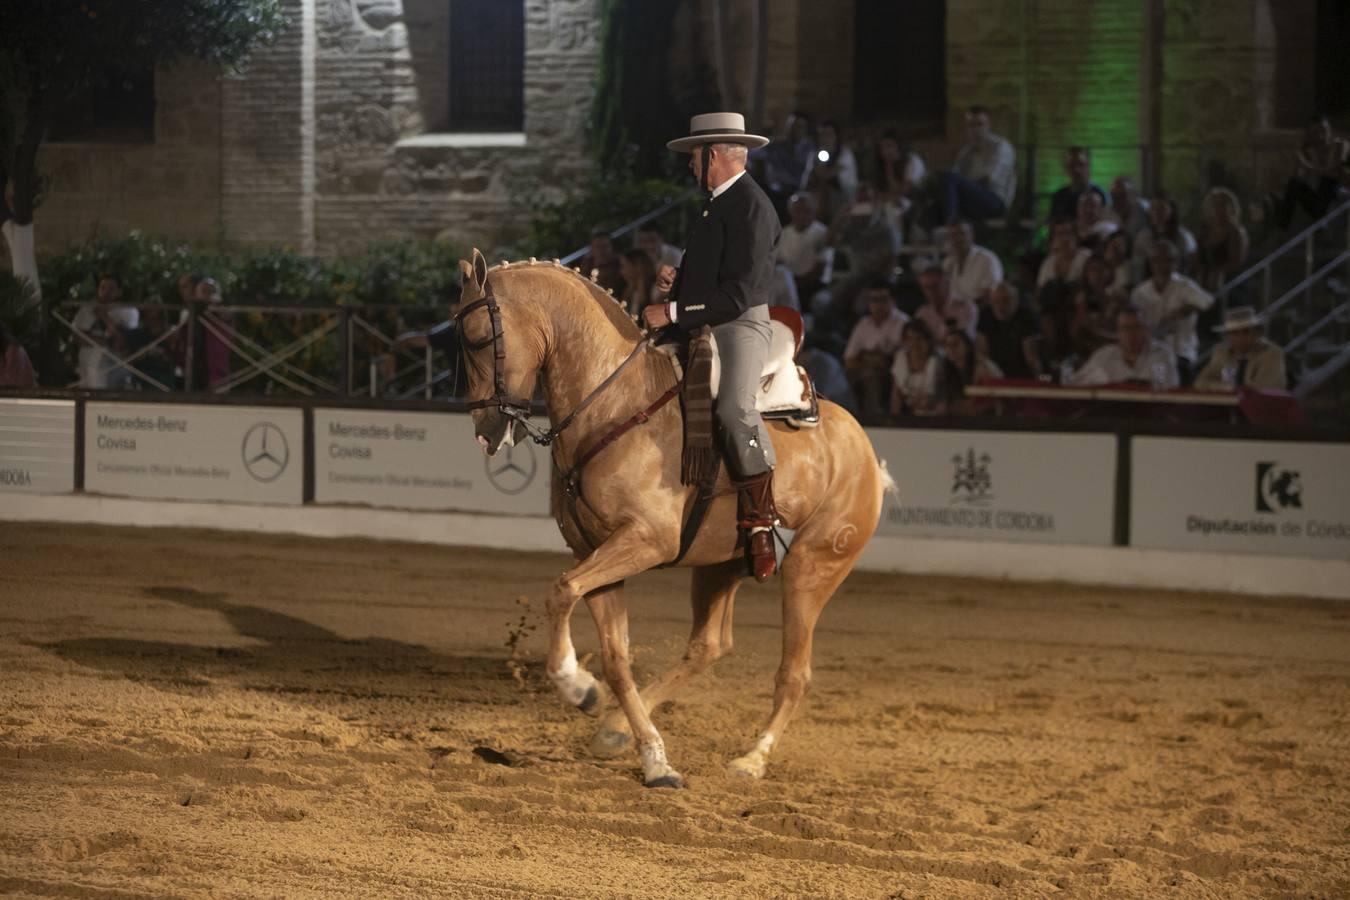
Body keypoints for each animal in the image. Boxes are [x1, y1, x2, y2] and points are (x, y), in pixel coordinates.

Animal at [459, 248, 891, 788]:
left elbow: (560, 591)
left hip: (811, 569)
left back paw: (753, 758)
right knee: (708, 646)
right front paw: (651, 755)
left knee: (794, 673)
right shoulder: (595, 552)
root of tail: (863, 448)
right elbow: (615, 656)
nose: (485, 431)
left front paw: (575, 684)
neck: (614, 405)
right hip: (720, 566)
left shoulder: (645, 542)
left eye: (477, 338)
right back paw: (618, 729)